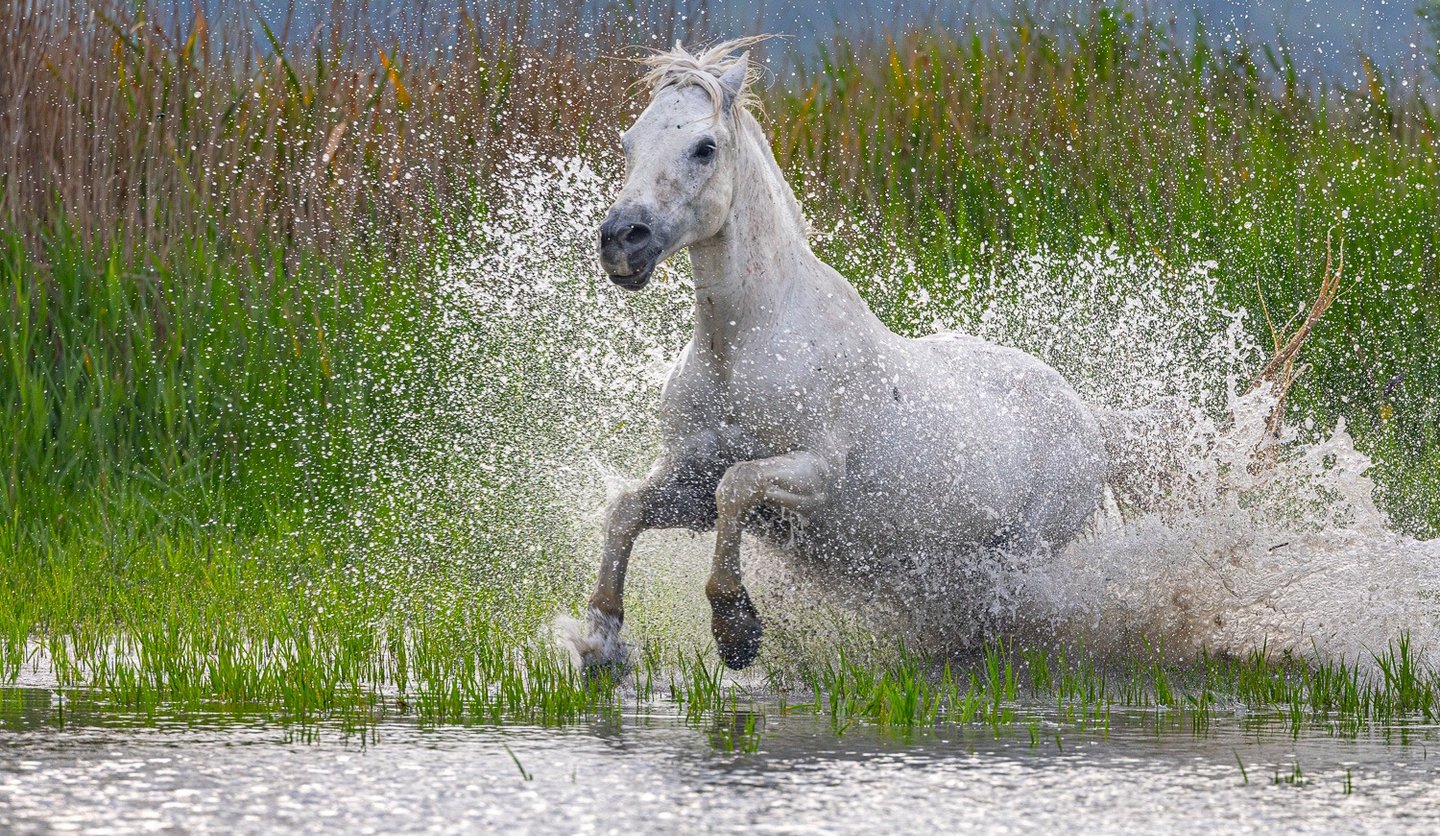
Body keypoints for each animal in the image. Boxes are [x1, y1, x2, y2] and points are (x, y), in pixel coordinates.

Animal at [579, 38, 1108, 671]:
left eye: (704, 147)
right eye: (629, 142)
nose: (621, 240)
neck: (742, 344)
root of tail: (1089, 418)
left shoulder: (815, 474)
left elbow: (737, 484)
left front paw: (735, 628)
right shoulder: (688, 479)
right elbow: (626, 508)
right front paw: (599, 637)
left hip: (1018, 554)